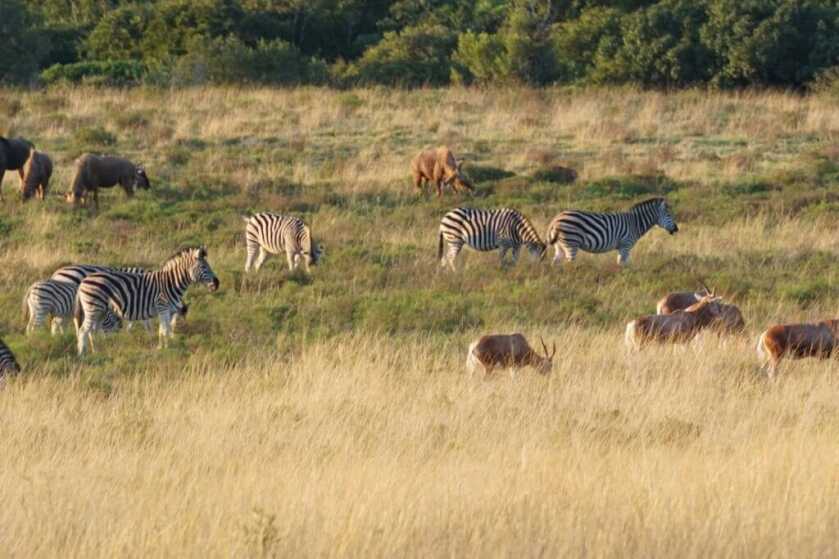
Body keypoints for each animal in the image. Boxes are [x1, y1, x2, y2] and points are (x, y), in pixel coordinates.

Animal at [74, 247, 218, 354]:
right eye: (204, 267)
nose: (217, 284)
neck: (171, 283)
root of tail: (83, 281)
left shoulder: (165, 310)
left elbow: (163, 329)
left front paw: (162, 347)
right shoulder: (163, 307)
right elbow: (165, 330)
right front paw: (166, 349)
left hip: (101, 311)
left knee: (92, 330)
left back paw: (97, 350)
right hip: (93, 308)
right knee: (83, 330)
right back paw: (83, 354)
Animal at [545, 197, 678, 267]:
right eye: (669, 215)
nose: (676, 229)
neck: (635, 223)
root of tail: (555, 219)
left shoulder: (624, 248)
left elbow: (626, 264)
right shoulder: (625, 245)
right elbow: (621, 264)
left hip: (560, 245)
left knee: (555, 262)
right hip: (571, 242)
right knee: (569, 264)